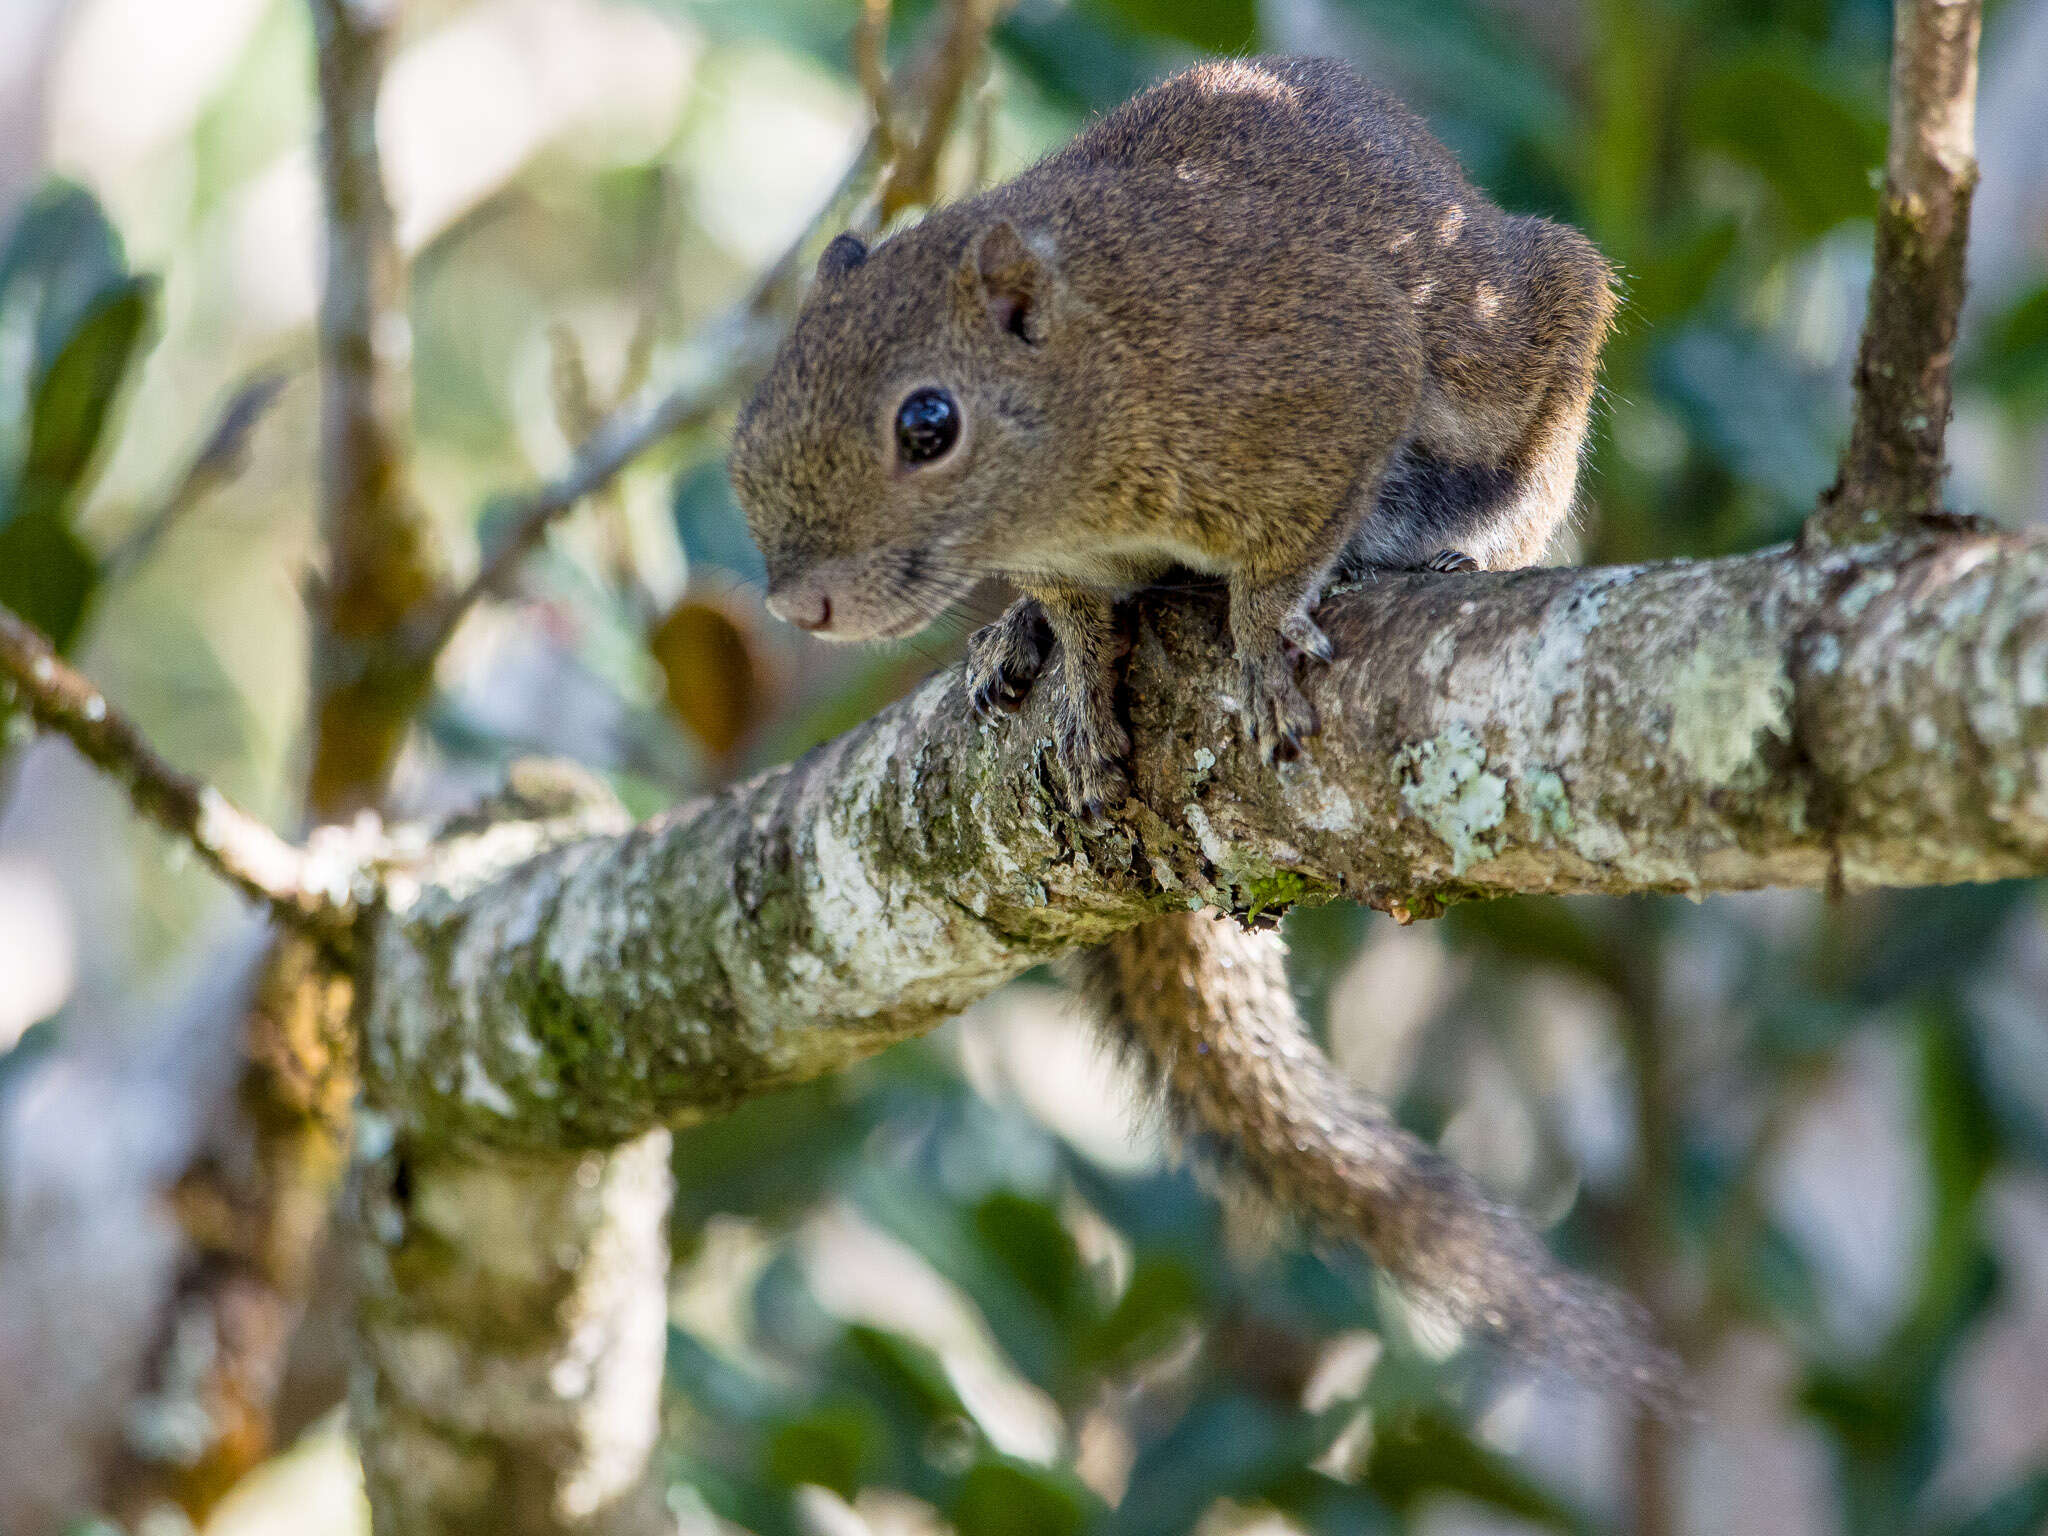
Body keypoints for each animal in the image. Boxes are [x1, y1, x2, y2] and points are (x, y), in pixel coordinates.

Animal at [729, 57, 1671, 1409]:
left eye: (926, 424)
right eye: (758, 411)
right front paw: (1074, 673)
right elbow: (1082, 615)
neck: (1102, 366)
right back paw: (1011, 640)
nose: (797, 604)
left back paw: (1467, 547)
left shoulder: (1317, 382)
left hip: (1525, 321)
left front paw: (1265, 630)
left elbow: (1287, 553)